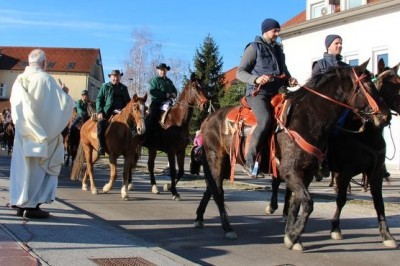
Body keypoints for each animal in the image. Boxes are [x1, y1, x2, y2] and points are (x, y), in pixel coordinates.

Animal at [195, 62, 390, 251]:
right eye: (367, 85)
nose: (385, 115)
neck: (307, 118)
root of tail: (208, 119)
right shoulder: (291, 171)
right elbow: (308, 202)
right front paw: (294, 235)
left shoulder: (307, 172)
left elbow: (296, 203)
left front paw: (291, 235)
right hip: (216, 160)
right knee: (218, 192)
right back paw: (227, 228)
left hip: (226, 164)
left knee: (211, 188)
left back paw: (199, 218)